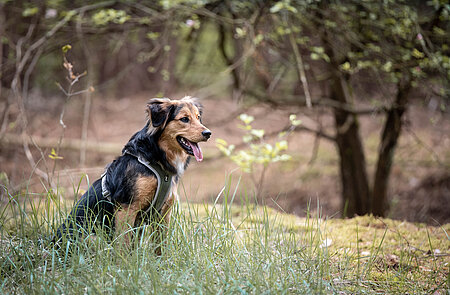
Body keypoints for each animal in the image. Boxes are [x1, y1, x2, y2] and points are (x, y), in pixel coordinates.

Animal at [55, 96, 211, 252]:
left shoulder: (163, 213)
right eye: (184, 119)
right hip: (93, 237)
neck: (156, 159)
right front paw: (124, 259)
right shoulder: (127, 207)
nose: (208, 133)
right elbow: (123, 245)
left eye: (198, 118)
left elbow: (160, 247)